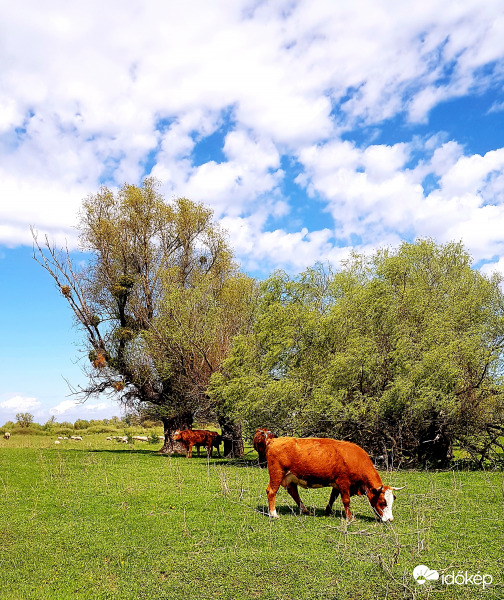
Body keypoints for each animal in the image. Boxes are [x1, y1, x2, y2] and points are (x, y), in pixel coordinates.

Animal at [266, 436, 404, 520]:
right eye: (382, 502)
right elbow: (346, 500)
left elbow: (332, 498)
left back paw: (305, 511)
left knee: (294, 492)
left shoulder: (337, 484)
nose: (390, 519)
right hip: (277, 474)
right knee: (271, 491)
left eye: (392, 500)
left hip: (290, 477)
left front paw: (328, 511)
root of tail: (274, 440)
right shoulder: (343, 482)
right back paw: (273, 513)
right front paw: (349, 517)